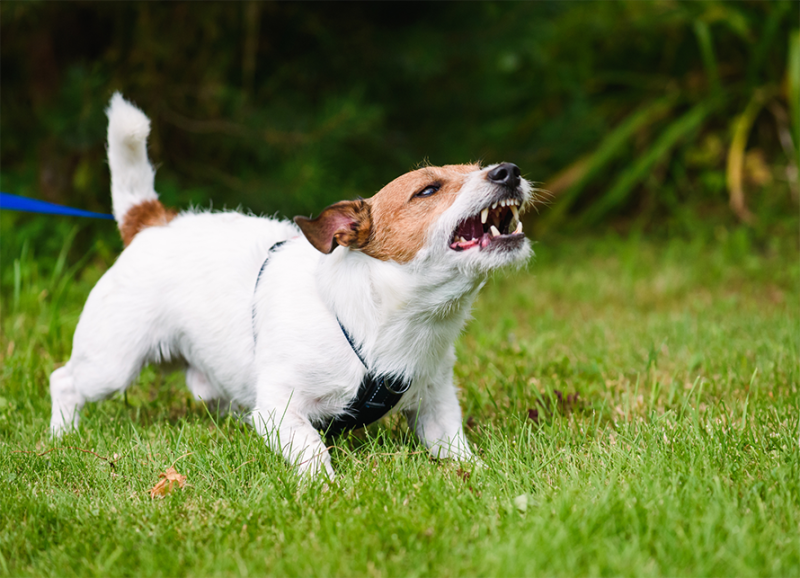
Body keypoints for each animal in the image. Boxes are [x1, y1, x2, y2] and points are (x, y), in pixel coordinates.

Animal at [53, 92, 536, 474]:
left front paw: (479, 476)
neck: (385, 320)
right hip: (111, 364)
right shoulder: (279, 409)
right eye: (428, 190)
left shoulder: (436, 403)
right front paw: (326, 488)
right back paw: (62, 437)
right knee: (65, 381)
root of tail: (152, 222)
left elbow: (454, 446)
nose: (509, 171)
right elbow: (312, 448)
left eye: (479, 167)